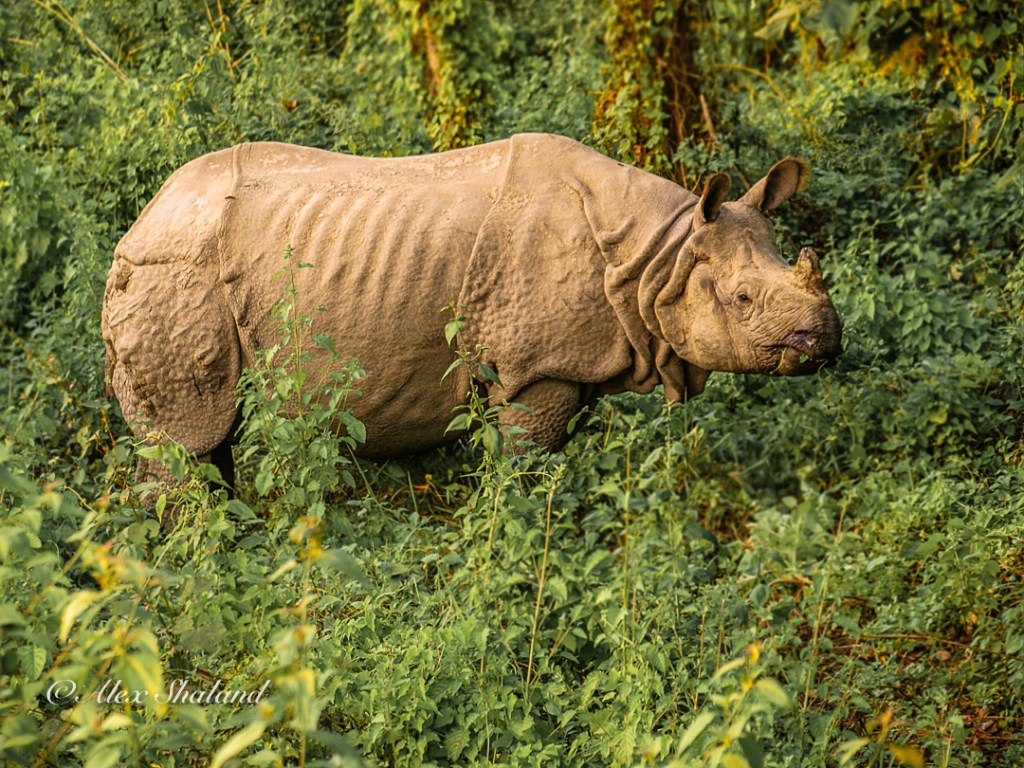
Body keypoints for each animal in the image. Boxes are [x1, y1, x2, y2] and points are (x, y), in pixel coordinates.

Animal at [102, 133, 841, 489]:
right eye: (742, 300)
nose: (826, 340)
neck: (658, 256)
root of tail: (142, 220)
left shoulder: (569, 365)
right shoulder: (535, 368)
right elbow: (521, 471)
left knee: (210, 445)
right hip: (175, 275)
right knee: (187, 438)